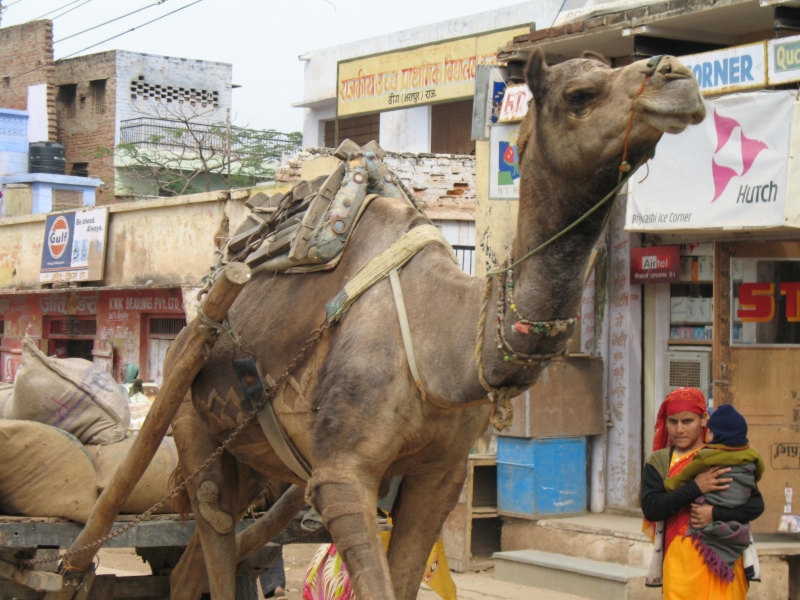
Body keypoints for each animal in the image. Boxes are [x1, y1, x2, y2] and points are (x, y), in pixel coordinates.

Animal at [167, 48, 700, 600]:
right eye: (581, 95)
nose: (677, 75)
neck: (445, 344)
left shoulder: (440, 476)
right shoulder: (342, 473)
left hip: (254, 458)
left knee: (195, 561)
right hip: (190, 420)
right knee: (214, 527)